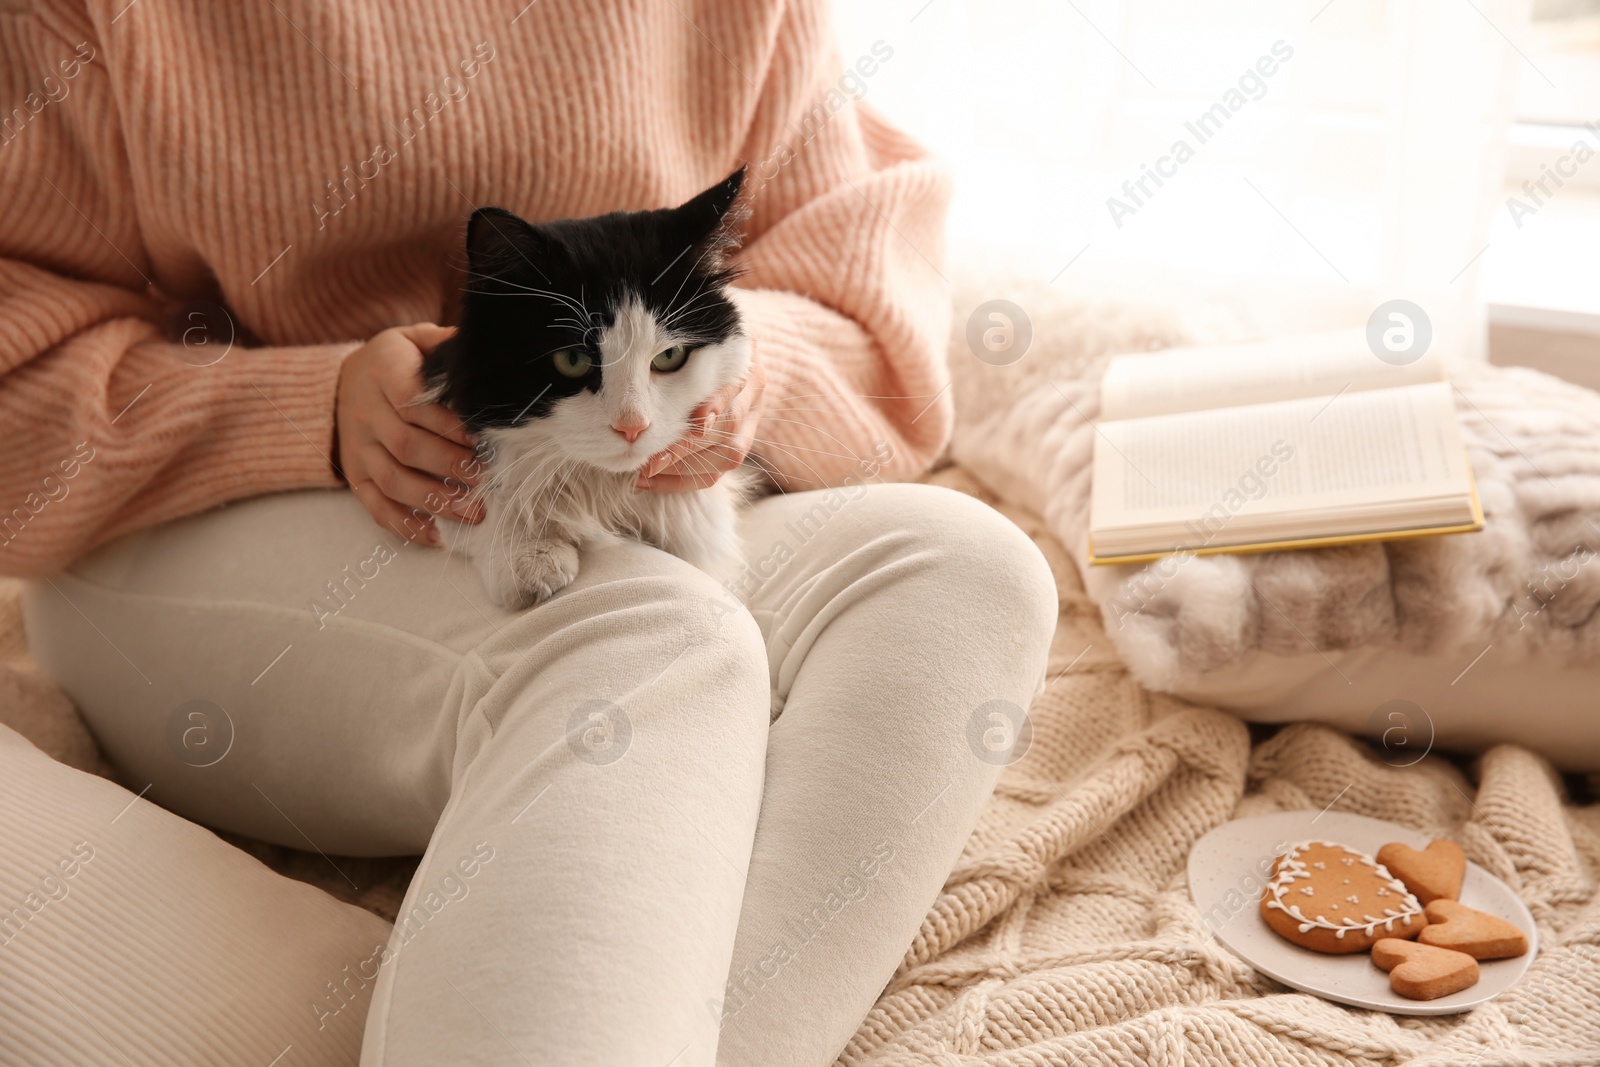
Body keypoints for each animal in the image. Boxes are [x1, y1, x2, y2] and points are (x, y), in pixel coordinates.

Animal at [422, 167, 752, 607]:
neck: (603, 491)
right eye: (573, 361)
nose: (632, 427)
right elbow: (488, 499)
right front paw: (530, 559)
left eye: (669, 356)